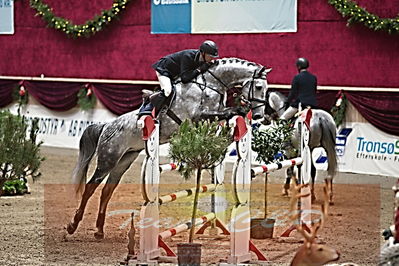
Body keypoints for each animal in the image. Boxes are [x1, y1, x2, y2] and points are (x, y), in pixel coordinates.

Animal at [66, 57, 272, 238]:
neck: (210, 85)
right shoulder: (198, 116)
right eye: (259, 87)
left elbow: (226, 116)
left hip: (124, 161)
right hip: (108, 158)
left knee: (107, 191)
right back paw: (72, 225)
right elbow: (227, 112)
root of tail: (106, 126)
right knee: (90, 187)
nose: (259, 115)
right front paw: (241, 110)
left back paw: (99, 231)